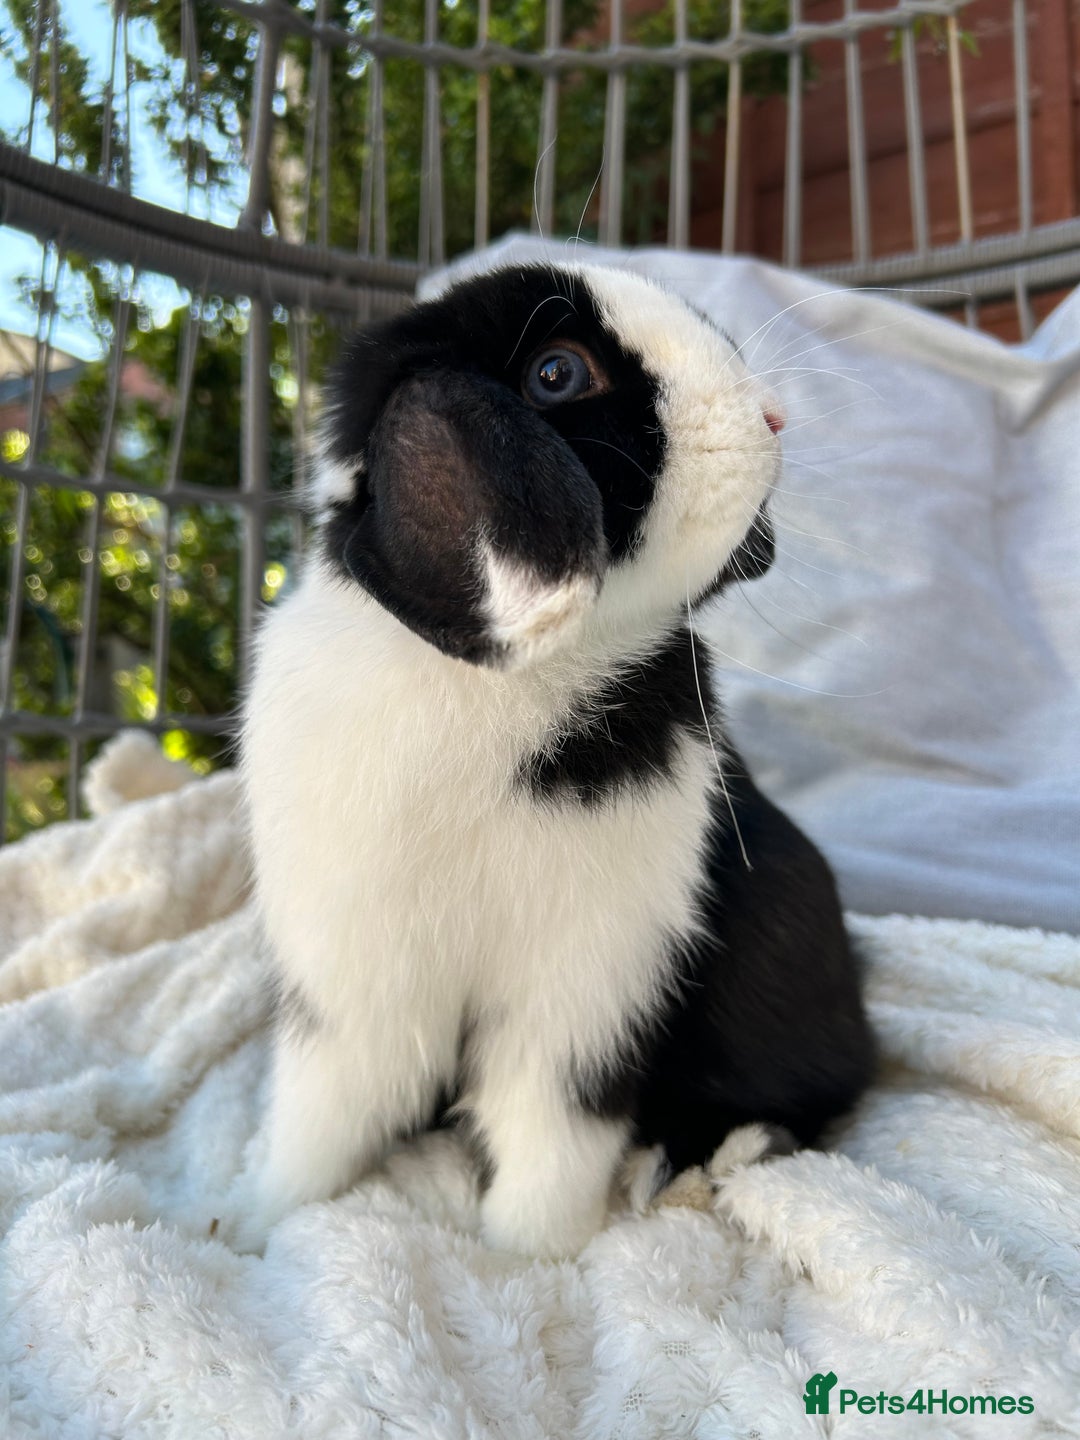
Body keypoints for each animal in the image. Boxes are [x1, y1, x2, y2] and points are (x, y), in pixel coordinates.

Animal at [237, 261, 875, 1259]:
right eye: (557, 374)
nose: (776, 415)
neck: (500, 687)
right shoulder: (353, 981)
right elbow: (324, 1116)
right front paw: (253, 1223)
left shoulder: (584, 998)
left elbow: (552, 1133)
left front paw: (527, 1259)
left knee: (819, 1090)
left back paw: (699, 1161)